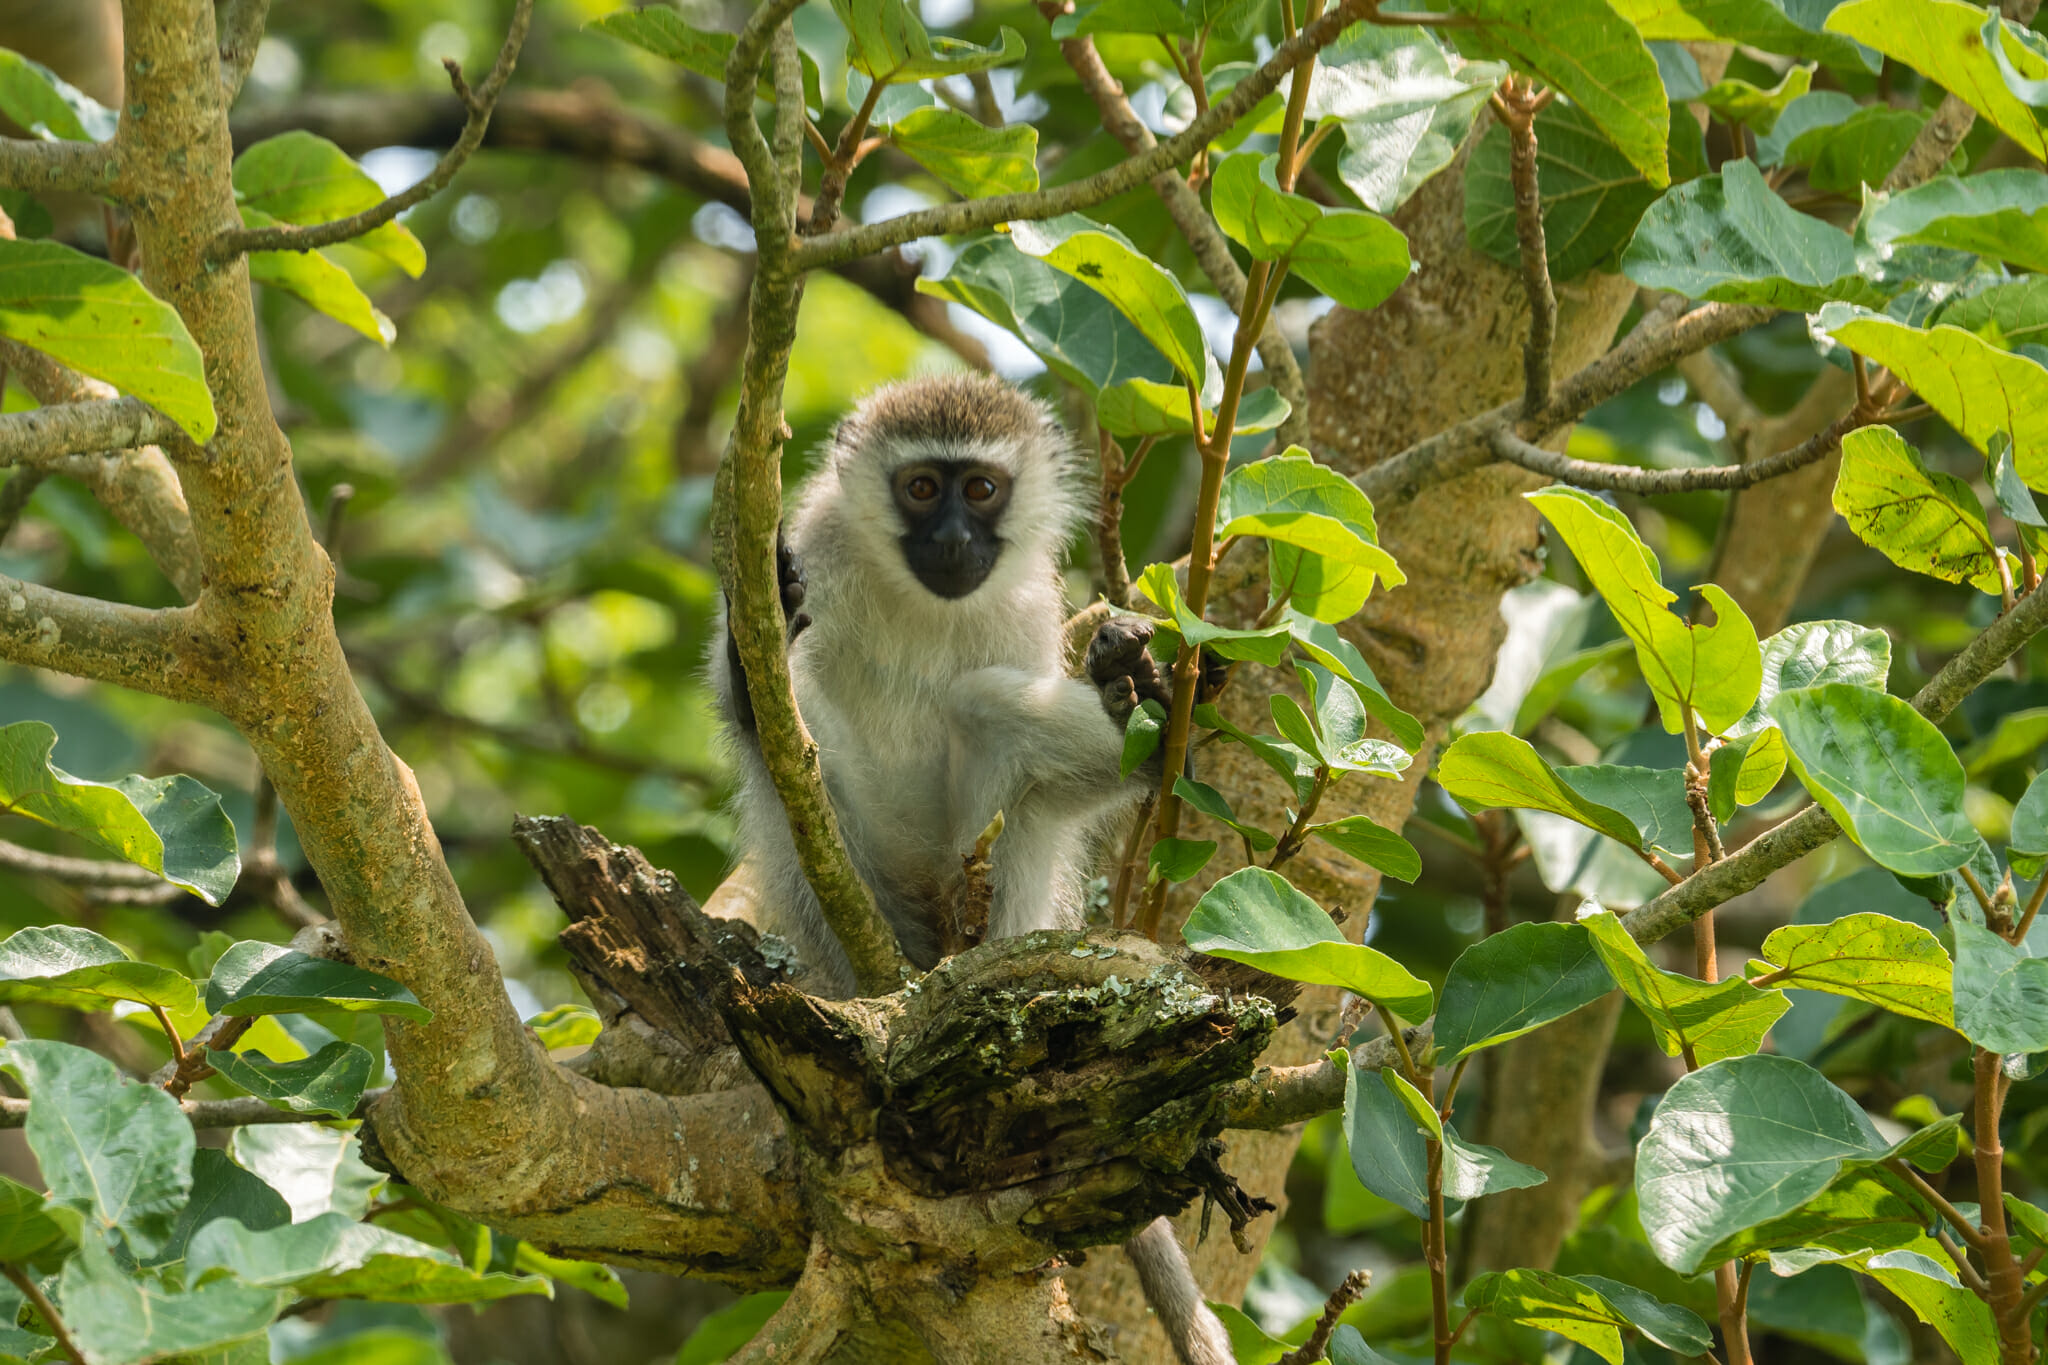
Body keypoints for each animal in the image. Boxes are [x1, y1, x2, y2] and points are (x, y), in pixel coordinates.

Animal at [711, 373, 1236, 1365]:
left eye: (982, 490)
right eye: (922, 488)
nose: (954, 539)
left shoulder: (1028, 606)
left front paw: (1134, 685)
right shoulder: (820, 540)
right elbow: (761, 707)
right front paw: (750, 655)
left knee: (988, 710)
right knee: (804, 758)